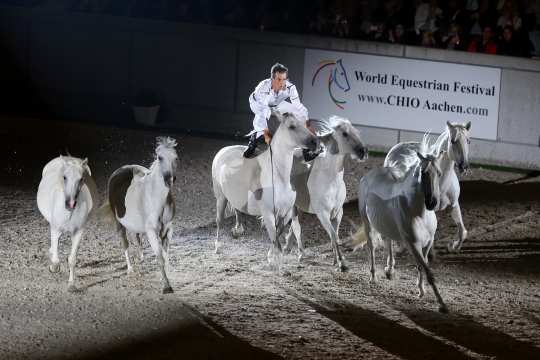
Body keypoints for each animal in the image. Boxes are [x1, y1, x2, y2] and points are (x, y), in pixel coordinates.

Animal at [100, 136, 178, 294]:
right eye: (160, 157)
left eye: (175, 158)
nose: (169, 179)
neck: (156, 198)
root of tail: (121, 169)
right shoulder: (152, 232)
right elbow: (160, 257)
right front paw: (166, 286)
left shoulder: (168, 229)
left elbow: (165, 256)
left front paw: (165, 278)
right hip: (119, 223)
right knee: (125, 243)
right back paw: (130, 269)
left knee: (136, 236)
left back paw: (140, 258)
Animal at [284, 116, 370, 272]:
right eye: (345, 134)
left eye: (356, 132)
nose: (363, 151)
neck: (331, 180)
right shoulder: (323, 214)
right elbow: (334, 236)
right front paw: (342, 264)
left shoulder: (338, 213)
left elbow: (334, 236)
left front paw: (336, 260)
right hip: (292, 206)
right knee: (296, 226)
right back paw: (300, 254)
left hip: (299, 207)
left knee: (293, 226)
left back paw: (288, 246)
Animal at [354, 148, 448, 312]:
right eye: (423, 173)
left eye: (439, 173)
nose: (432, 203)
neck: (419, 213)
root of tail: (368, 176)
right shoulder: (413, 244)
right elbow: (428, 272)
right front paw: (441, 304)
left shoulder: (428, 243)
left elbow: (421, 266)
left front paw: (421, 291)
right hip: (367, 223)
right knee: (371, 247)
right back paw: (373, 276)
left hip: (386, 224)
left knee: (388, 241)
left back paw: (390, 271)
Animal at [384, 121, 472, 250]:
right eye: (453, 141)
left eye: (468, 141)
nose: (464, 166)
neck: (442, 184)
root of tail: (397, 146)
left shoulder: (454, 205)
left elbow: (462, 231)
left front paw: (453, 246)